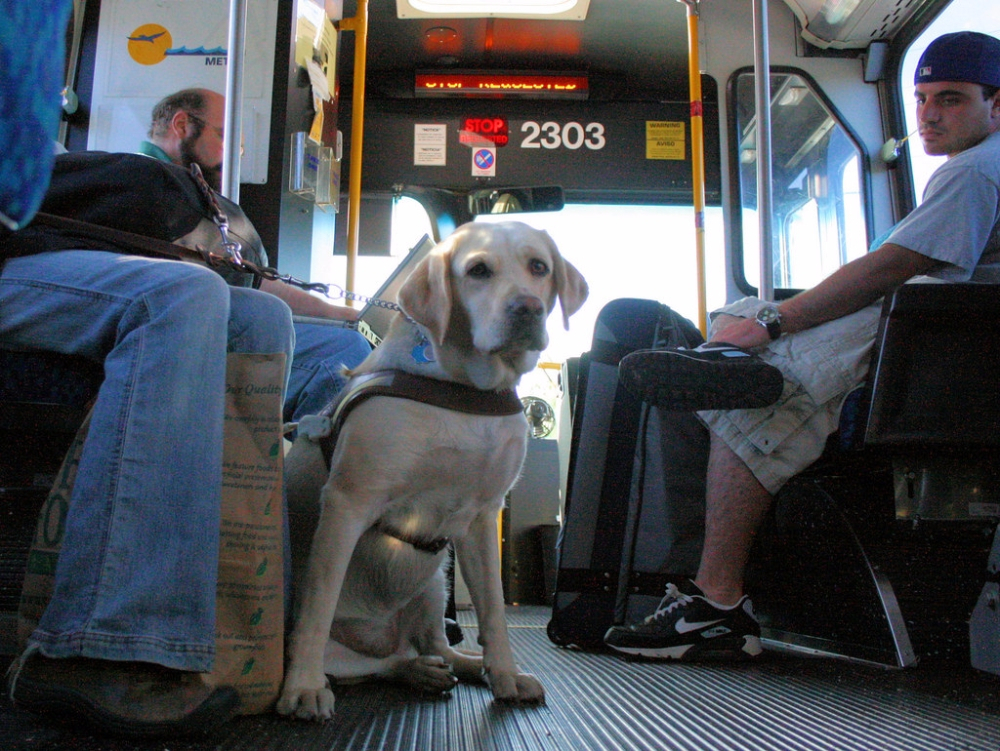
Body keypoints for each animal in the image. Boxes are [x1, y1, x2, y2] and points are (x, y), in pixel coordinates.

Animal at [276, 220, 584, 720]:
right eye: (478, 270)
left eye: (539, 267)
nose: (528, 308)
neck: (464, 388)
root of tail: (383, 636)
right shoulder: (348, 502)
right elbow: (317, 609)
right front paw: (301, 687)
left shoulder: (482, 519)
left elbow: (494, 612)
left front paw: (505, 674)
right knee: (377, 665)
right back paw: (406, 671)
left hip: (433, 583)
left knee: (434, 646)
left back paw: (461, 665)